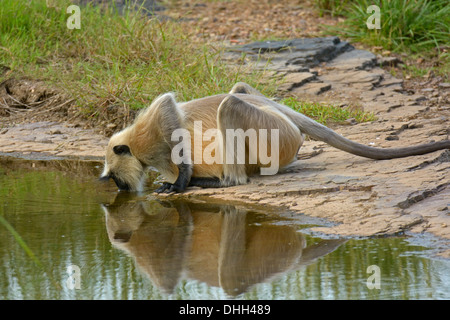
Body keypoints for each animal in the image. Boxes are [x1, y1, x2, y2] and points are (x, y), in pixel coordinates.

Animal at [100, 82, 450, 192]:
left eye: (116, 179)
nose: (122, 190)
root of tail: (287, 120)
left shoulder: (149, 132)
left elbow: (168, 107)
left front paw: (182, 179)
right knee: (238, 89)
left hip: (274, 135)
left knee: (230, 105)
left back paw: (223, 182)